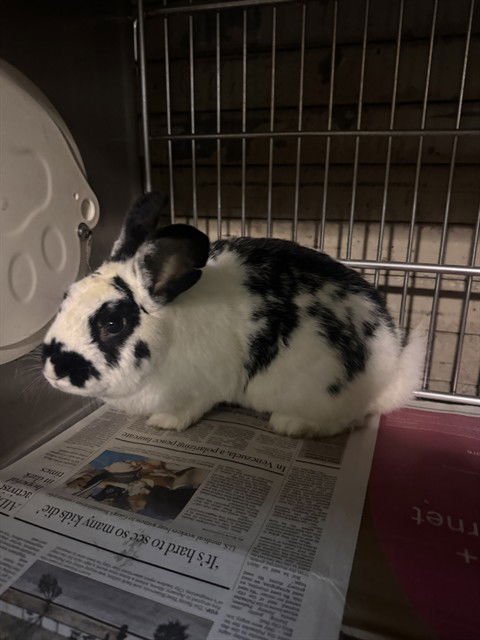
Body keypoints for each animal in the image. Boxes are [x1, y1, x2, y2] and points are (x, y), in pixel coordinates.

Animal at [42, 191, 425, 438]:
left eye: (112, 323)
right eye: (64, 298)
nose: (54, 370)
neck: (170, 332)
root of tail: (391, 369)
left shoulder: (199, 390)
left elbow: (187, 410)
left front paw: (162, 422)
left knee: (343, 421)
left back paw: (290, 424)